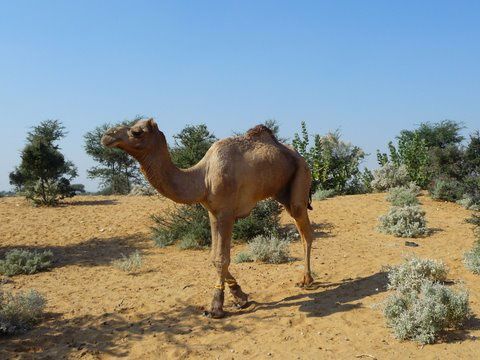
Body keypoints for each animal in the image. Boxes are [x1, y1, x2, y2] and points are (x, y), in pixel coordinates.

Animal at [101, 118, 316, 318]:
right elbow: (214, 257)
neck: (202, 178)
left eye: (137, 132)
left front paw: (216, 307)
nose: (106, 135)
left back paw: (306, 279)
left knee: (306, 232)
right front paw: (240, 296)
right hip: (282, 191)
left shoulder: (226, 212)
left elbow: (222, 258)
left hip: (301, 176)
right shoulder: (213, 212)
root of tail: (300, 156)